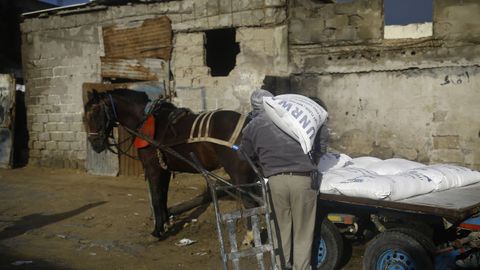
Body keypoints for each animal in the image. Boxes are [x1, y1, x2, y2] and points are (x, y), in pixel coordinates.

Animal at [83, 89, 255, 238]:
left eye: (95, 113)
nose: (95, 144)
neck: (144, 122)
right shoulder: (164, 169)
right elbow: (163, 196)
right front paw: (165, 224)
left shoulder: (153, 168)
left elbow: (156, 197)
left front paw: (158, 230)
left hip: (238, 175)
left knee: (250, 204)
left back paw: (250, 237)